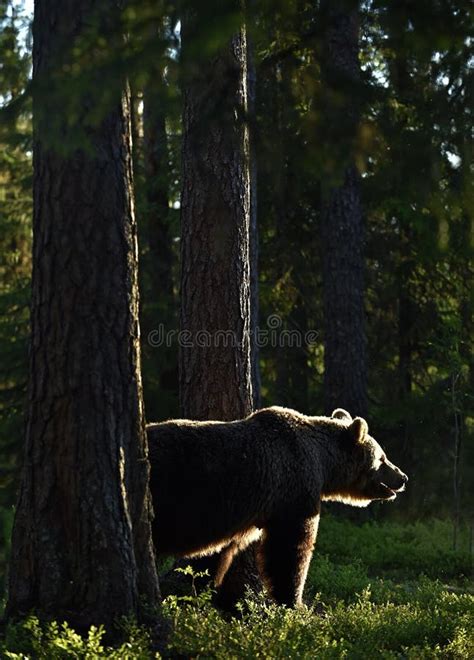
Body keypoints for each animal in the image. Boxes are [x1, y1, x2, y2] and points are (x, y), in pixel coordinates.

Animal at [147, 408, 408, 608]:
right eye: (382, 458)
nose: (402, 477)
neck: (323, 464)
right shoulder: (292, 491)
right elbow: (289, 550)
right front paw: (294, 601)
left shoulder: (236, 513)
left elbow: (215, 553)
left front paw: (197, 588)